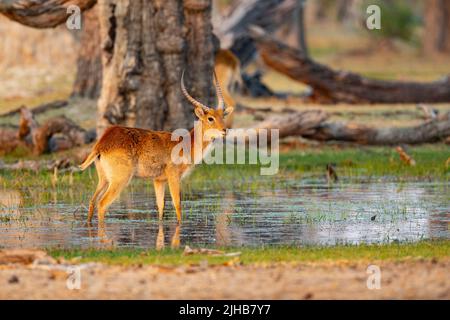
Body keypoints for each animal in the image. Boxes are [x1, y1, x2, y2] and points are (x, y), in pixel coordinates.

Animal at [80, 71, 232, 224]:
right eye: (210, 118)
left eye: (223, 116)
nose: (225, 130)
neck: (186, 144)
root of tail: (103, 142)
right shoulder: (173, 177)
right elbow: (177, 205)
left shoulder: (158, 180)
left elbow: (160, 207)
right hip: (119, 180)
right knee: (102, 204)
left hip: (104, 179)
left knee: (92, 201)